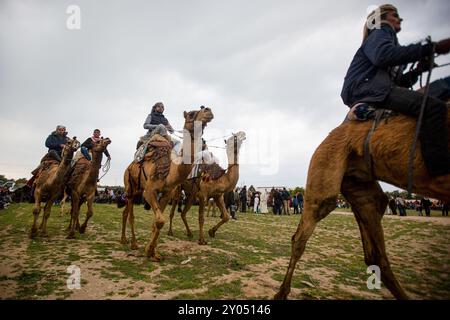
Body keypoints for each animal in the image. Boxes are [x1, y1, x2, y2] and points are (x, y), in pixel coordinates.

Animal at [120, 105, 214, 260]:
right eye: (191, 114)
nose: (208, 110)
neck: (170, 171)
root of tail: (129, 166)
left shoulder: (166, 193)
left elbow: (157, 222)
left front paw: (153, 252)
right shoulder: (149, 191)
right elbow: (160, 221)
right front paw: (149, 251)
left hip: (137, 190)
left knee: (126, 212)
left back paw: (126, 240)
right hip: (129, 187)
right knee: (130, 214)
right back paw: (131, 243)